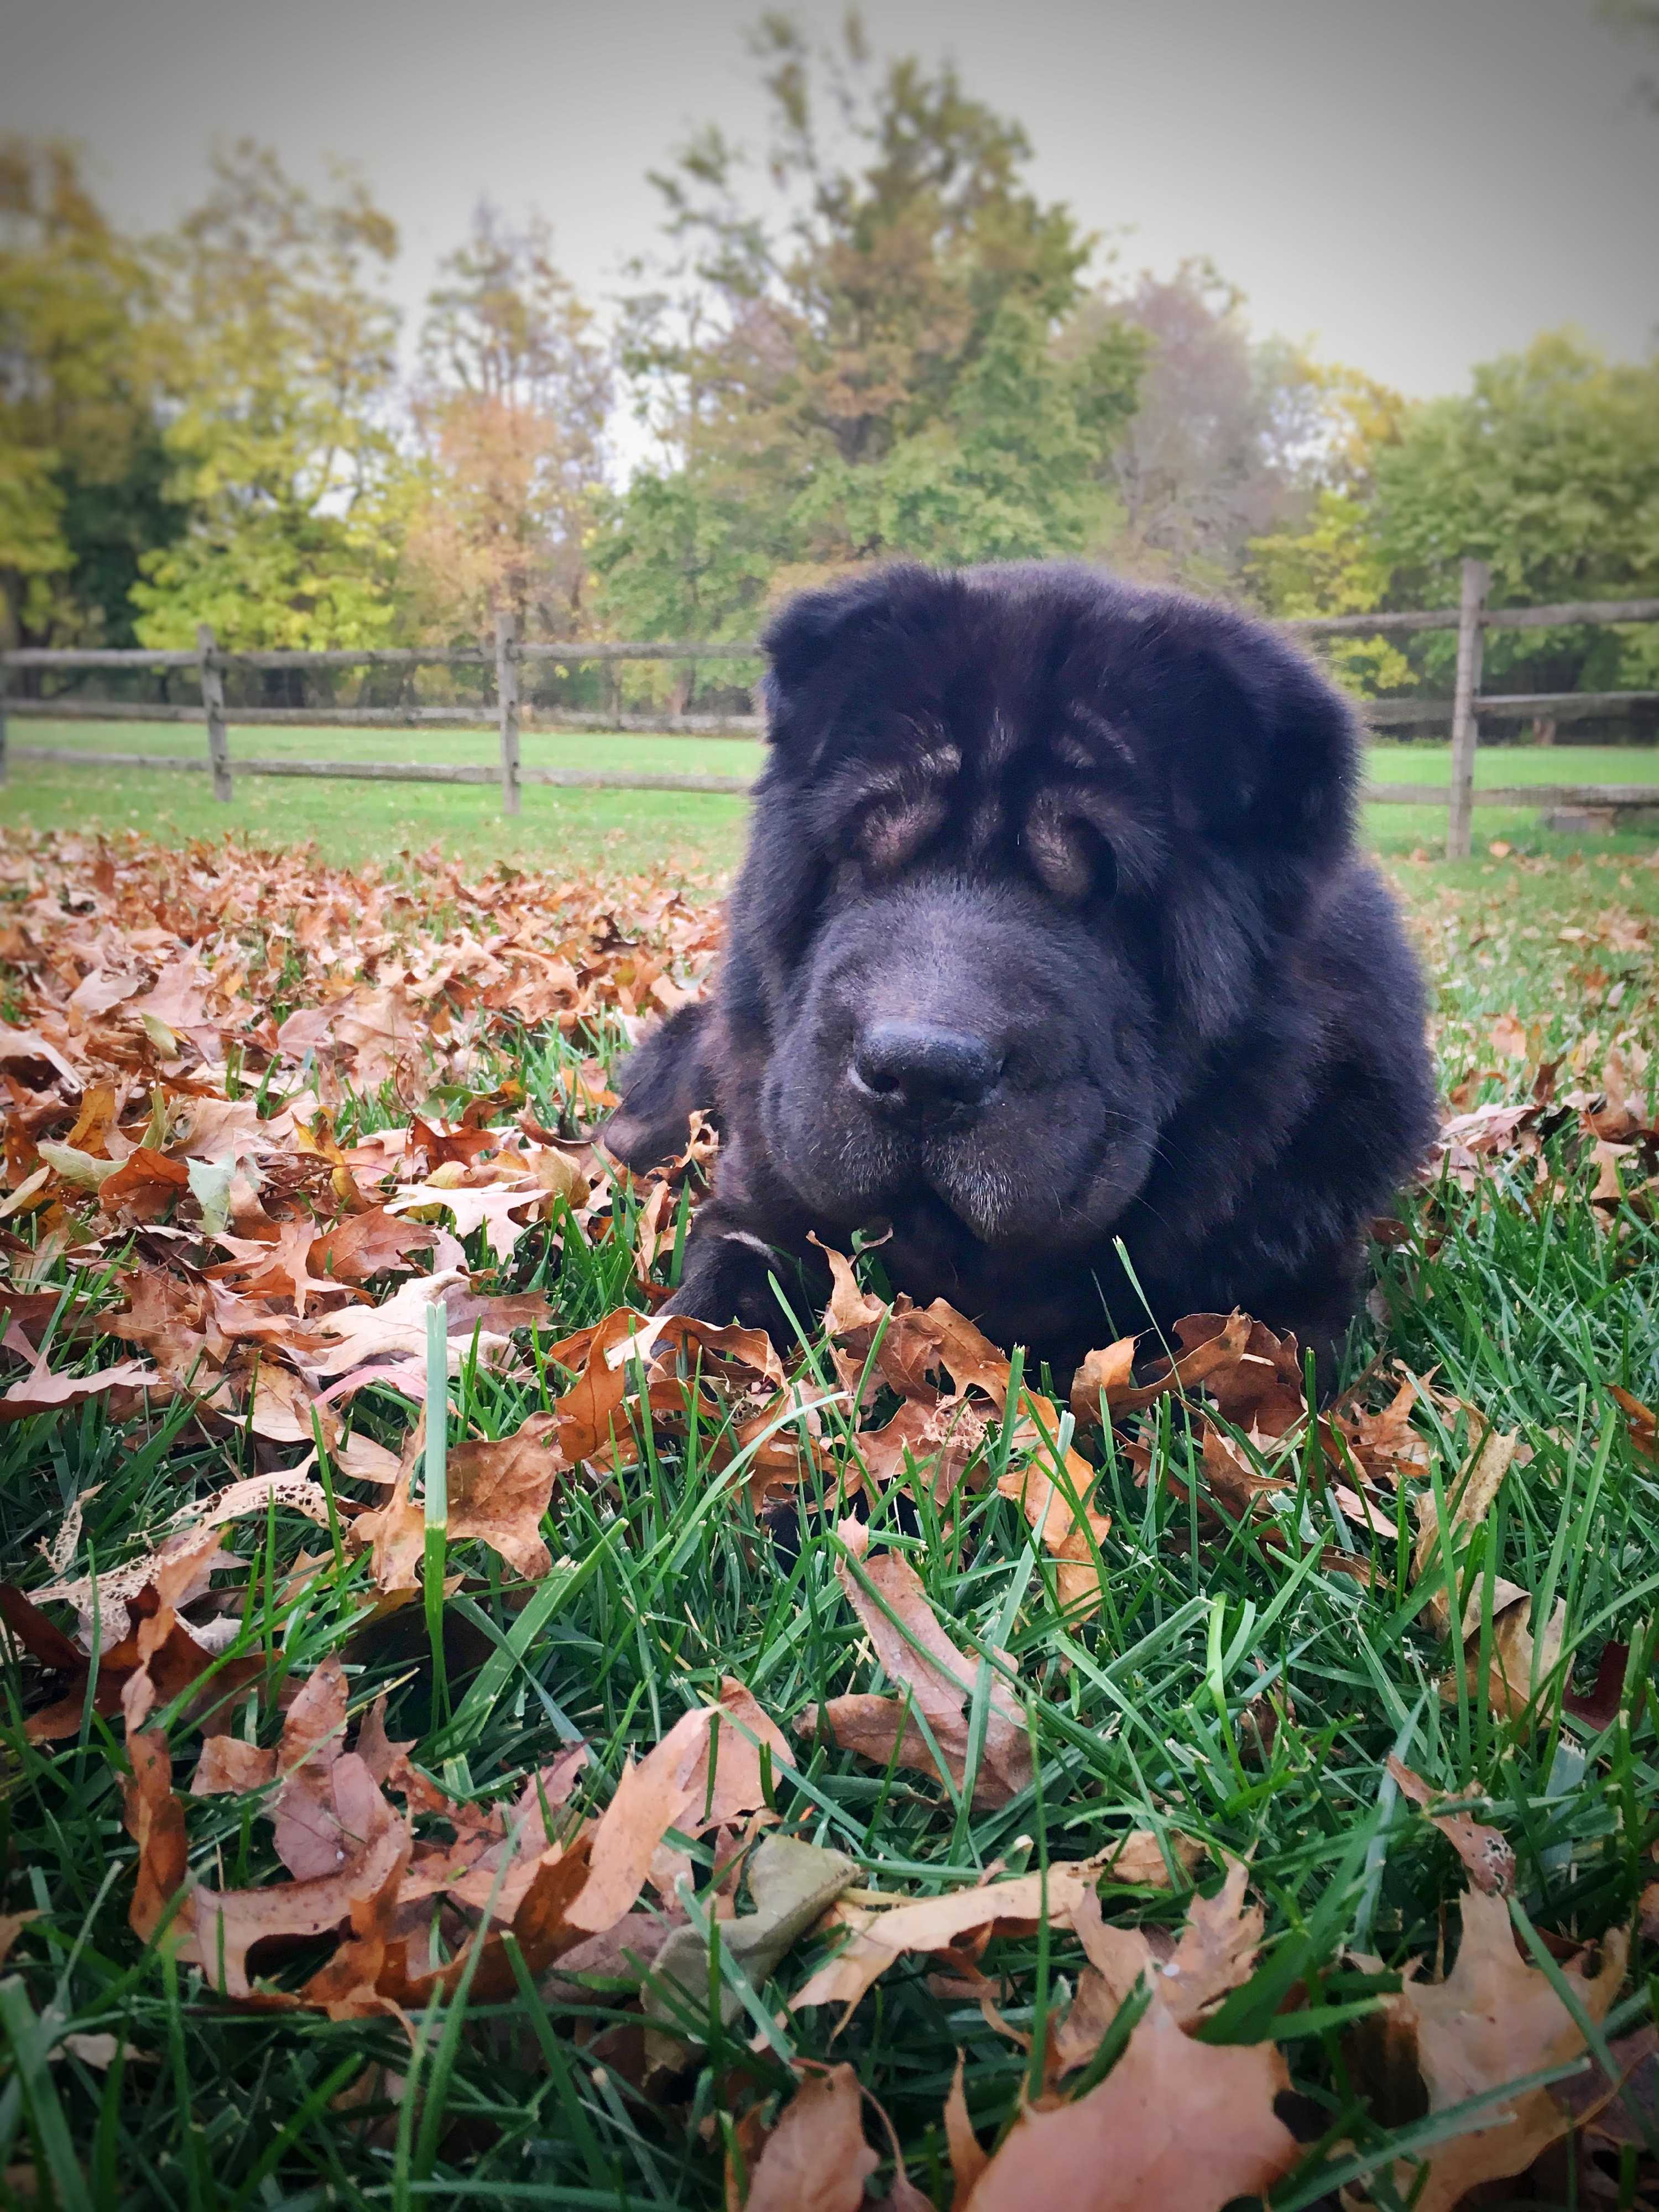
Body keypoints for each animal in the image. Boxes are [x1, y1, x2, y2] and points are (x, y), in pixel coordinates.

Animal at [606, 562, 1433, 1371]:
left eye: (1104, 889)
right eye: (869, 851)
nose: (921, 1072)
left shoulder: (1288, 1306)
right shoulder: (757, 1218)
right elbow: (698, 1324)